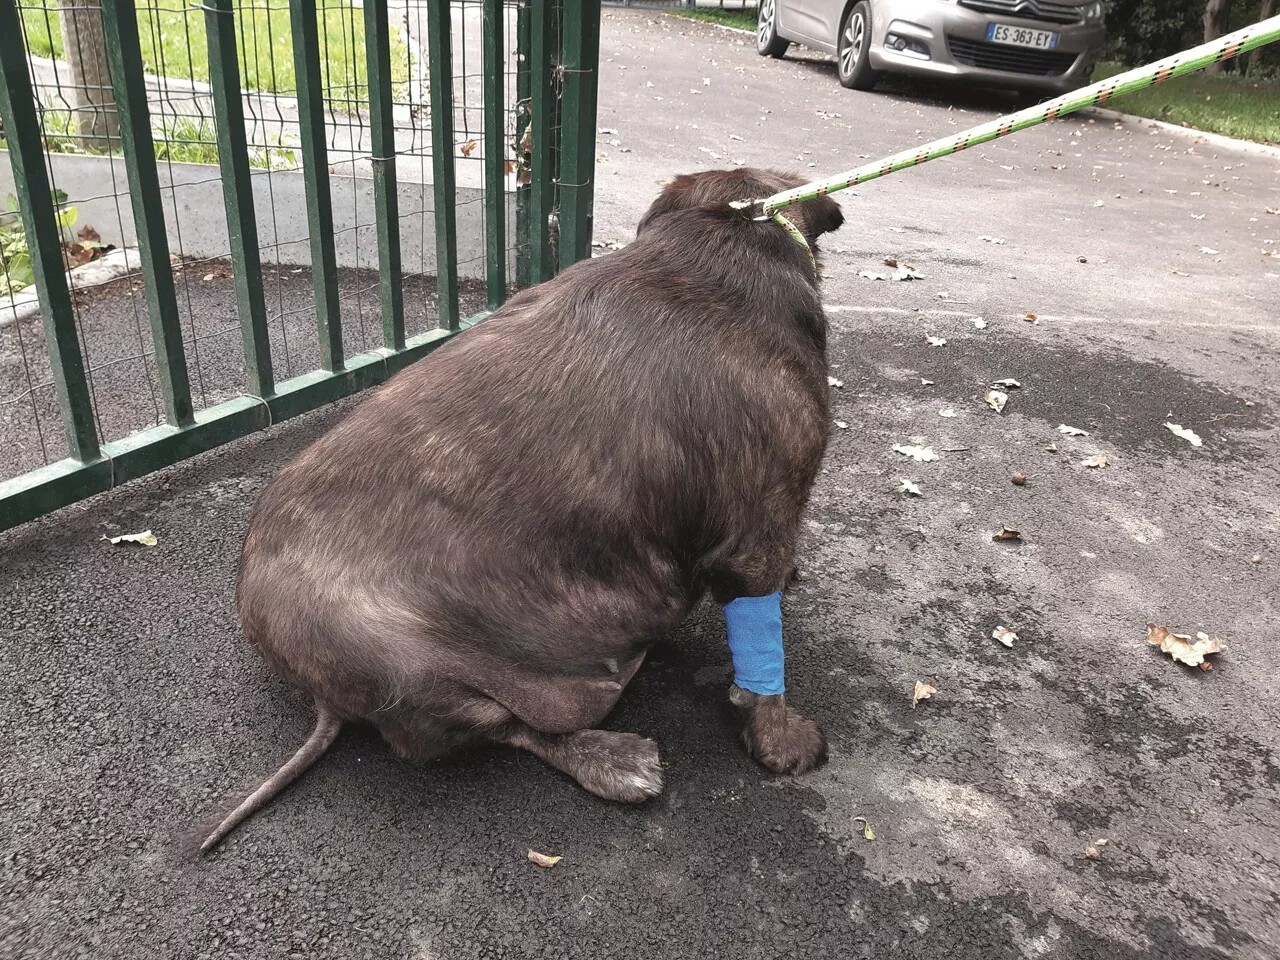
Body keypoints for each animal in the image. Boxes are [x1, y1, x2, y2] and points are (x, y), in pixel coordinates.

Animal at [197, 168, 839, 855]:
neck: (721, 234)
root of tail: (317, 696)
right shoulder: (756, 538)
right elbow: (763, 663)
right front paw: (780, 739)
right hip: (420, 678)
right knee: (514, 730)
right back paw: (615, 759)